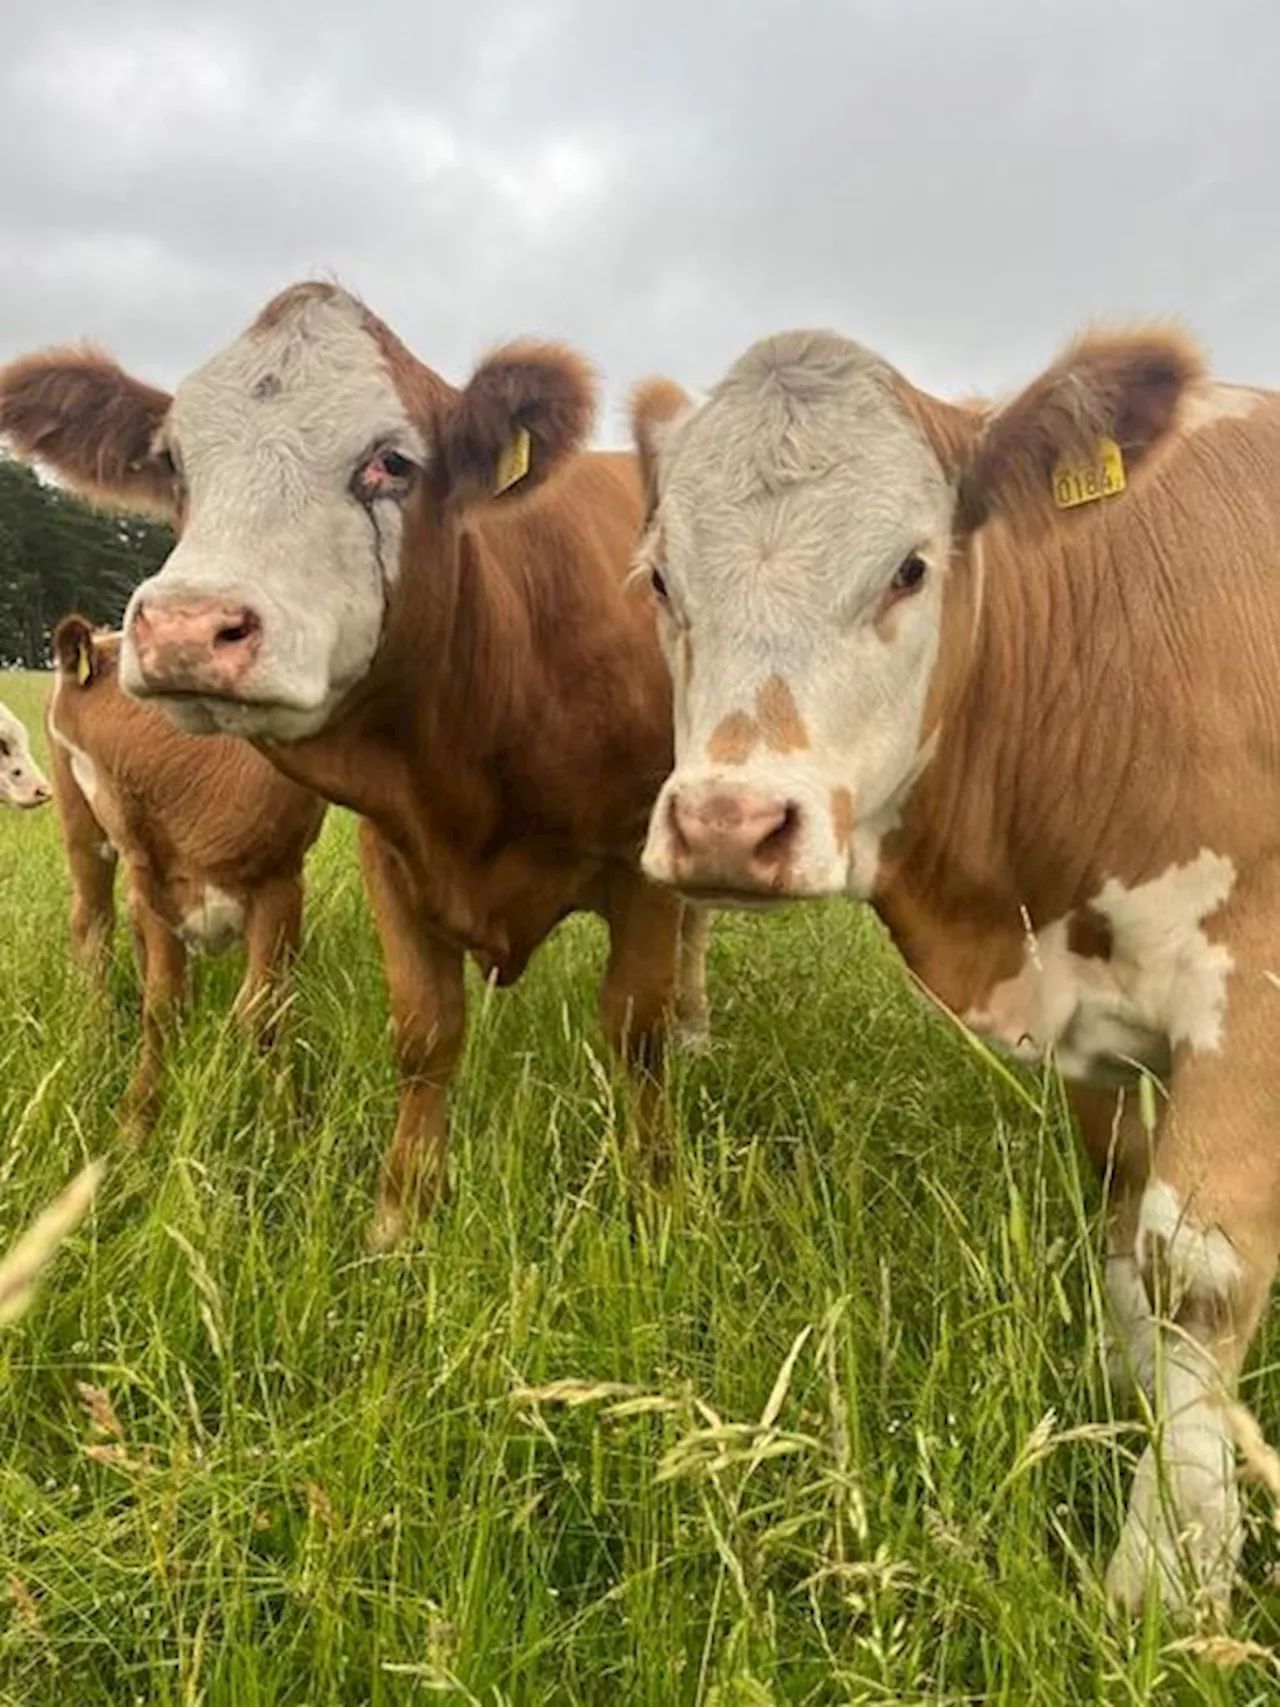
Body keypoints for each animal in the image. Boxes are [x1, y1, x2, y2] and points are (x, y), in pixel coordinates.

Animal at [45, 617, 327, 1133]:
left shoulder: (280, 882)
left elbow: (263, 1011)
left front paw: (285, 1123)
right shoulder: (153, 885)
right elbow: (162, 1006)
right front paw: (137, 1120)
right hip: (82, 831)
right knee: (92, 923)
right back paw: (96, 1037)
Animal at [631, 329, 1280, 1611]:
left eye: (909, 569)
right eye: (661, 581)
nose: (727, 824)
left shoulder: (1253, 995)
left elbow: (1194, 1271)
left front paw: (1168, 1574)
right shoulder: (1097, 1027)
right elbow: (1122, 1237)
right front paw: (1126, 1415)